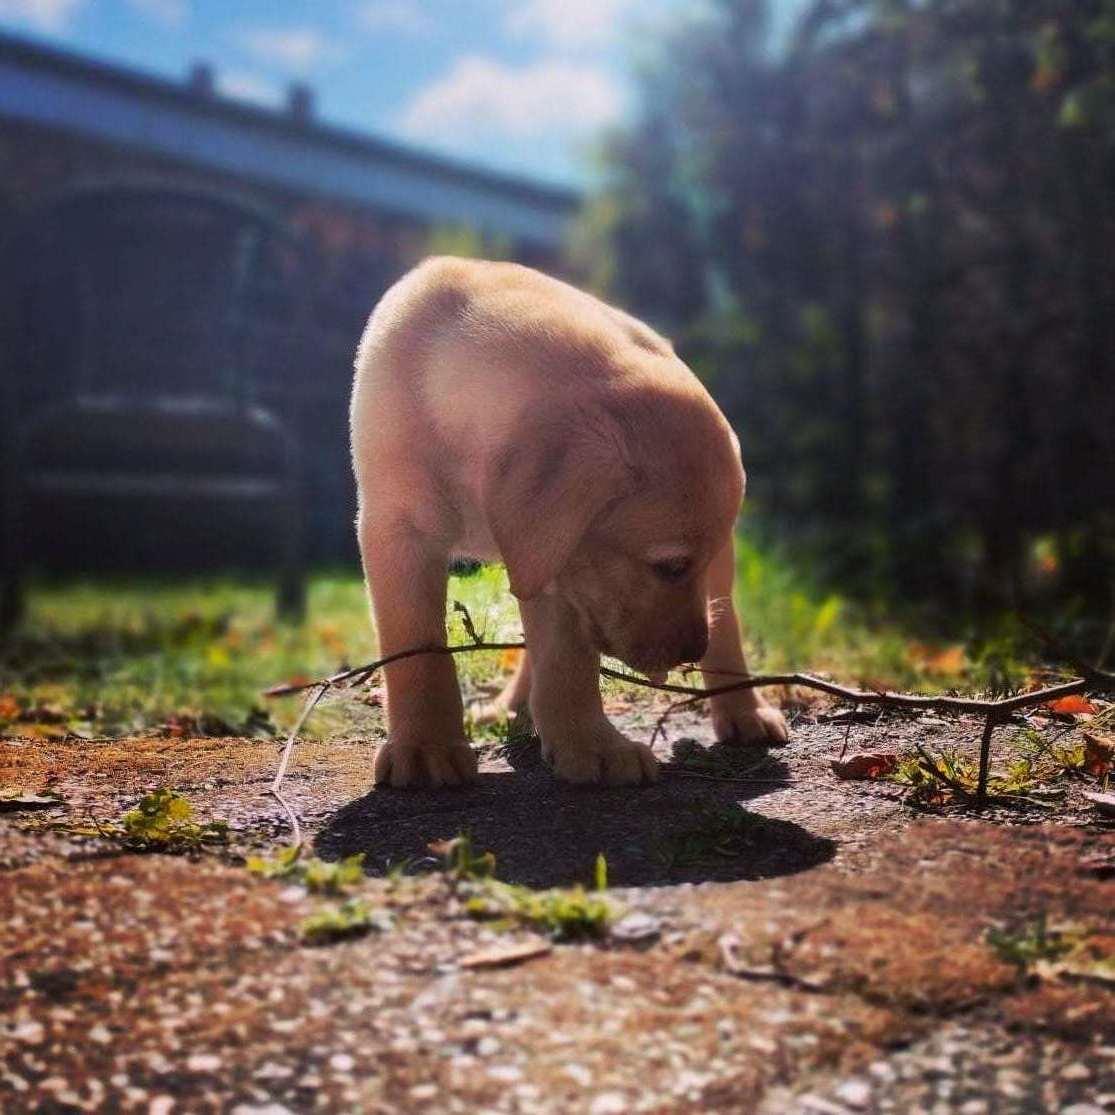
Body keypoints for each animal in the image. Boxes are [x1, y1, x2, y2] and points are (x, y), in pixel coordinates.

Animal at [352, 256, 789, 789]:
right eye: (668, 567)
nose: (690, 649)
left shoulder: (565, 563)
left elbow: (567, 658)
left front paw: (590, 744)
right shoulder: (402, 531)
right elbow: (417, 647)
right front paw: (425, 746)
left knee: (725, 625)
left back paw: (744, 710)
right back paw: (513, 706)